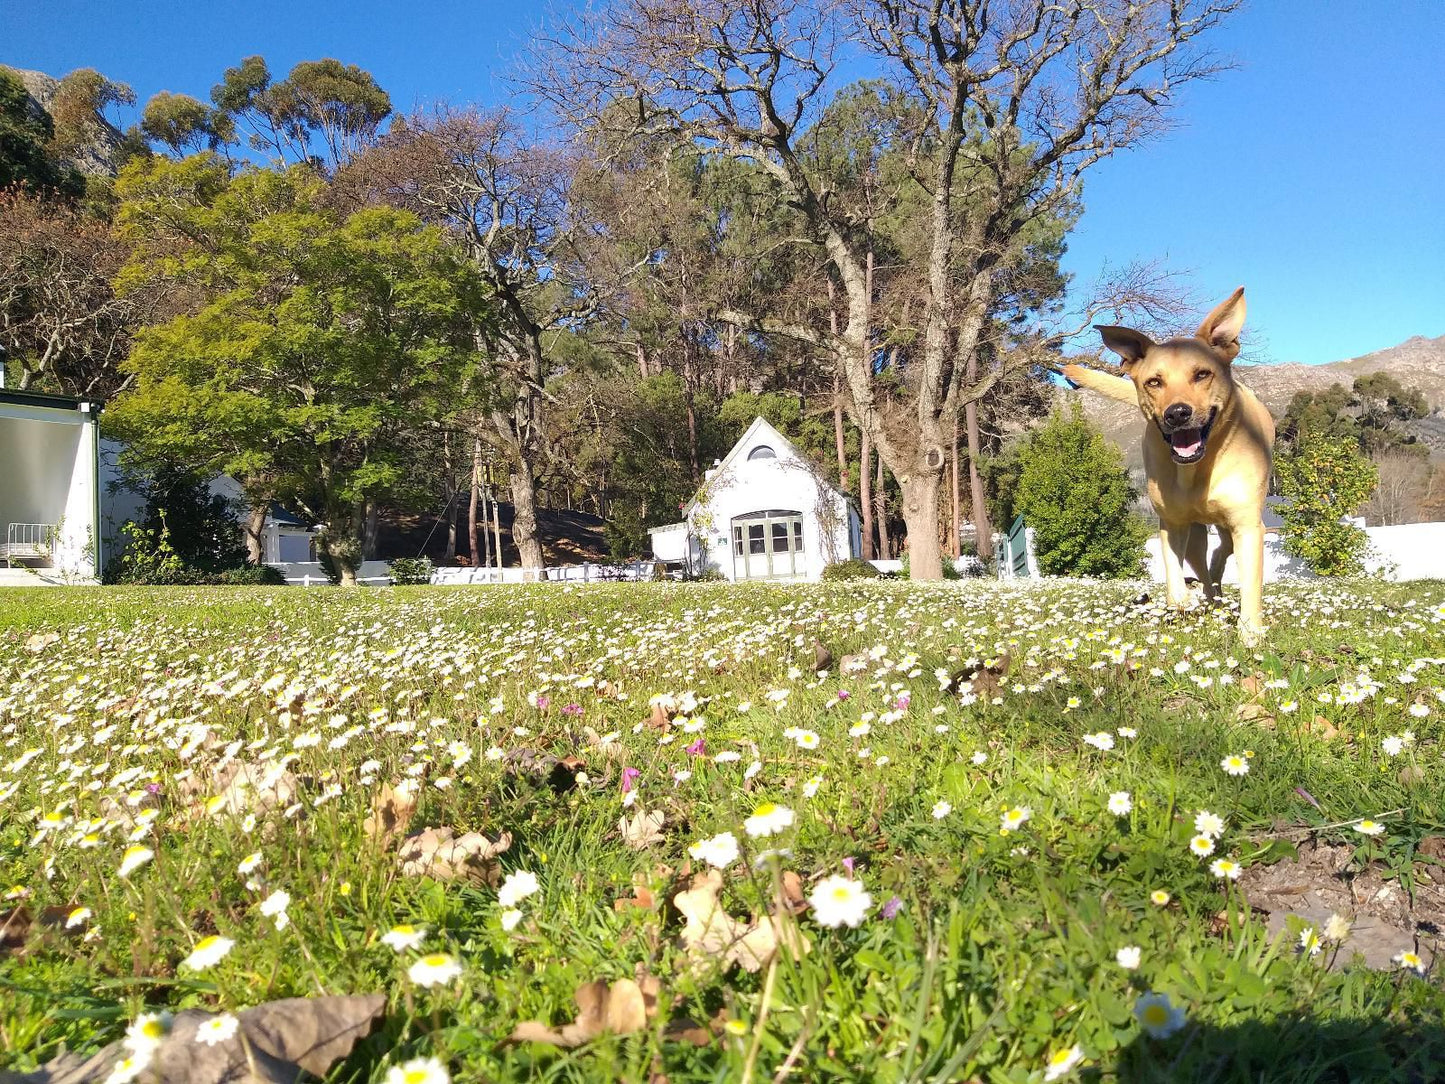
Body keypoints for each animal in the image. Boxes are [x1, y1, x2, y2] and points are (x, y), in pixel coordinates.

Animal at [1063, 290, 1277, 644]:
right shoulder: (1172, 524)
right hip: (1195, 534)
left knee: (1221, 554)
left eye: (1202, 374)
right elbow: (1175, 583)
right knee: (1204, 565)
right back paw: (1207, 598)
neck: (1197, 470)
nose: (1177, 413)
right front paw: (1183, 600)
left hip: (1232, 526)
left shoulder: (1247, 524)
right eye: (1154, 381)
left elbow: (1251, 587)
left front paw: (1251, 635)